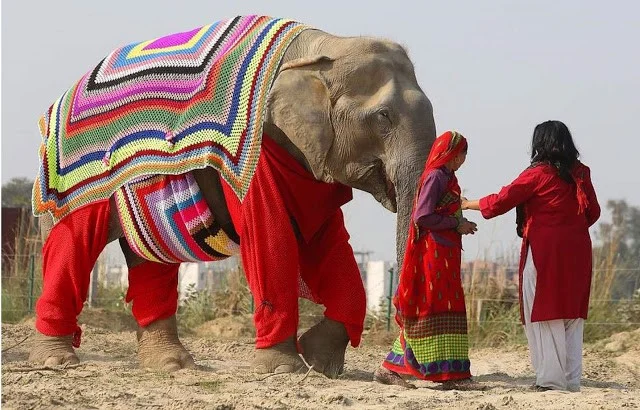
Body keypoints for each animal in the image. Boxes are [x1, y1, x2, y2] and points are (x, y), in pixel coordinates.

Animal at [28, 16, 435, 377]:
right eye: (383, 117)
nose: (390, 374)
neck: (324, 45)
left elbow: (329, 239)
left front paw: (319, 363)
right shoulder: (255, 152)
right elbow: (270, 234)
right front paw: (282, 369)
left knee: (151, 260)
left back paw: (173, 366)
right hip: (68, 180)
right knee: (71, 246)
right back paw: (56, 362)